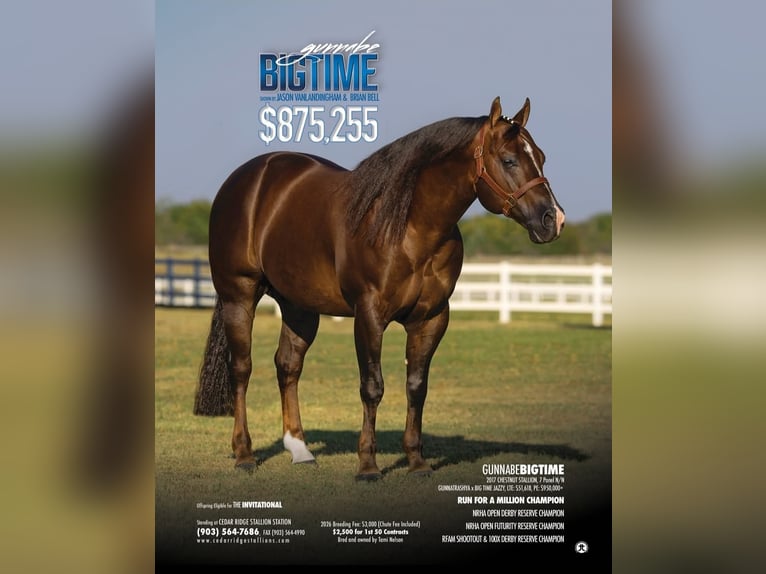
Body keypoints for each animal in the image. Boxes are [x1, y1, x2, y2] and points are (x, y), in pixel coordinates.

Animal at [193, 97, 565, 480]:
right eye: (508, 160)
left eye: (540, 156)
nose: (553, 220)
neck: (410, 227)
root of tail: (248, 178)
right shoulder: (369, 315)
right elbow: (372, 387)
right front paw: (368, 466)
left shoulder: (431, 318)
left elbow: (416, 386)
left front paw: (416, 461)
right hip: (239, 295)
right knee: (242, 368)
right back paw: (244, 454)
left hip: (299, 306)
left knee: (288, 365)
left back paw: (299, 449)